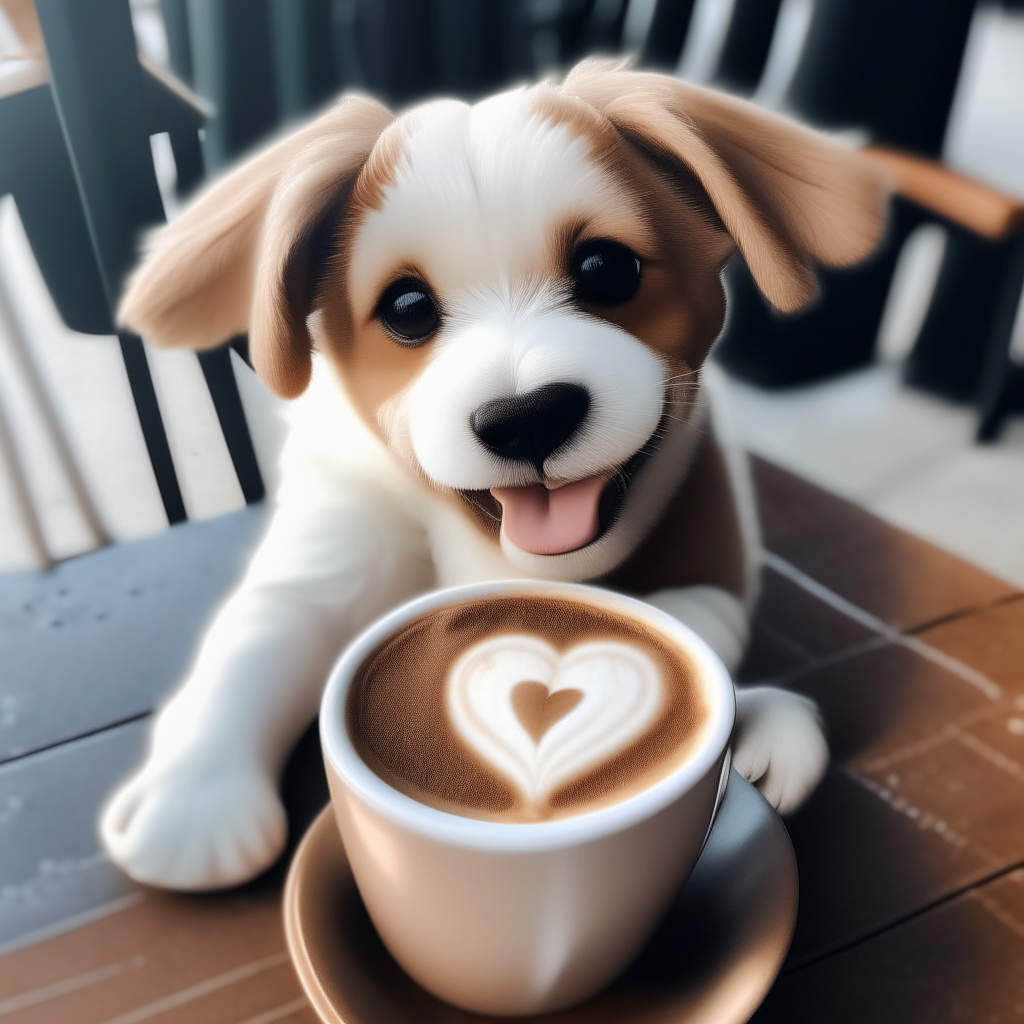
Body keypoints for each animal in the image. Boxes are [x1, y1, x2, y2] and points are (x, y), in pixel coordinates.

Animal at [105, 58, 888, 888]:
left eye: (607, 269)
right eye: (407, 307)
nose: (528, 416)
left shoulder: (708, 542)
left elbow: (693, 626)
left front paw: (759, 718)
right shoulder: (337, 525)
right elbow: (263, 631)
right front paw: (195, 800)